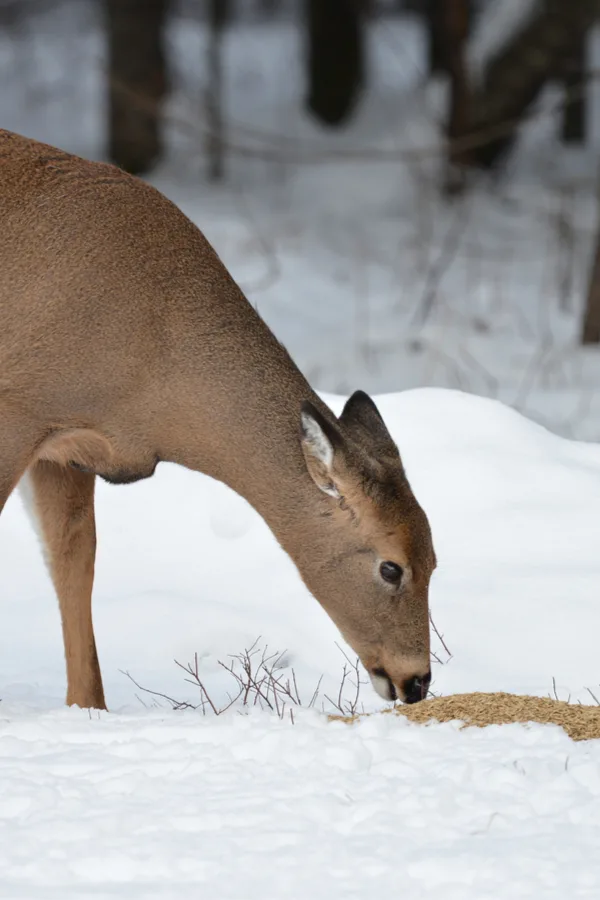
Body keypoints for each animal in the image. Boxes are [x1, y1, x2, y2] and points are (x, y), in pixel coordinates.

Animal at [0, 130, 436, 712]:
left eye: (435, 560)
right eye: (391, 567)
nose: (418, 682)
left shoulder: (67, 448)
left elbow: (74, 562)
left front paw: (88, 709)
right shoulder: (18, 407)